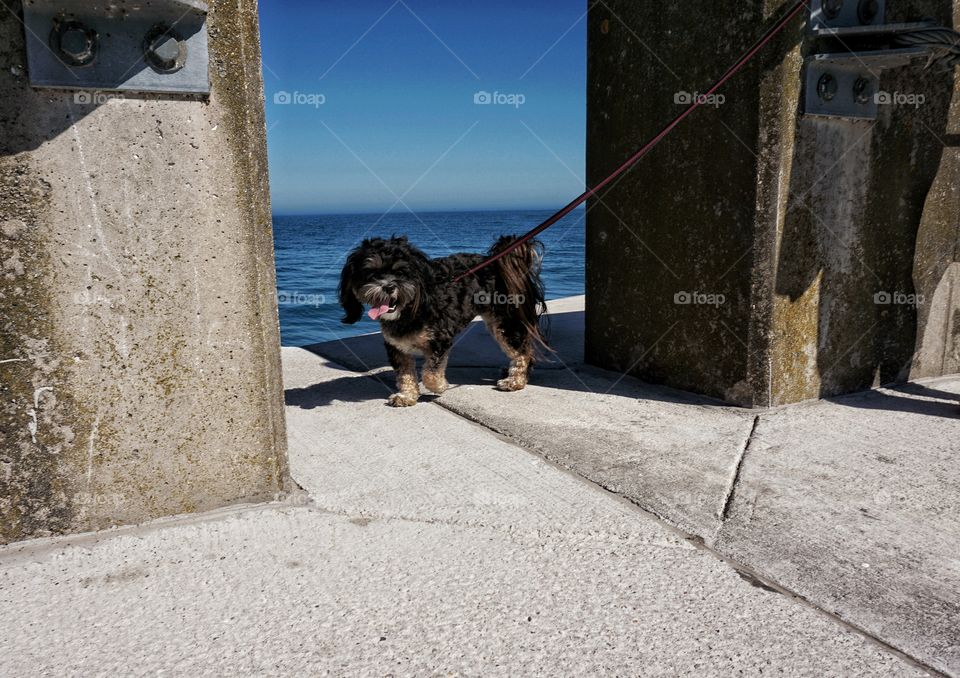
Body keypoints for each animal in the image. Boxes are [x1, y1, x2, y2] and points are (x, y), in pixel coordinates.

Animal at [338, 238, 548, 410]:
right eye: (371, 273)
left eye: (401, 272)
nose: (389, 287)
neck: (410, 310)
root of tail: (496, 262)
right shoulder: (396, 347)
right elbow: (405, 374)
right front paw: (407, 396)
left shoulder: (440, 340)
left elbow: (430, 373)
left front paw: (440, 386)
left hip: (504, 323)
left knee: (522, 352)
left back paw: (515, 381)